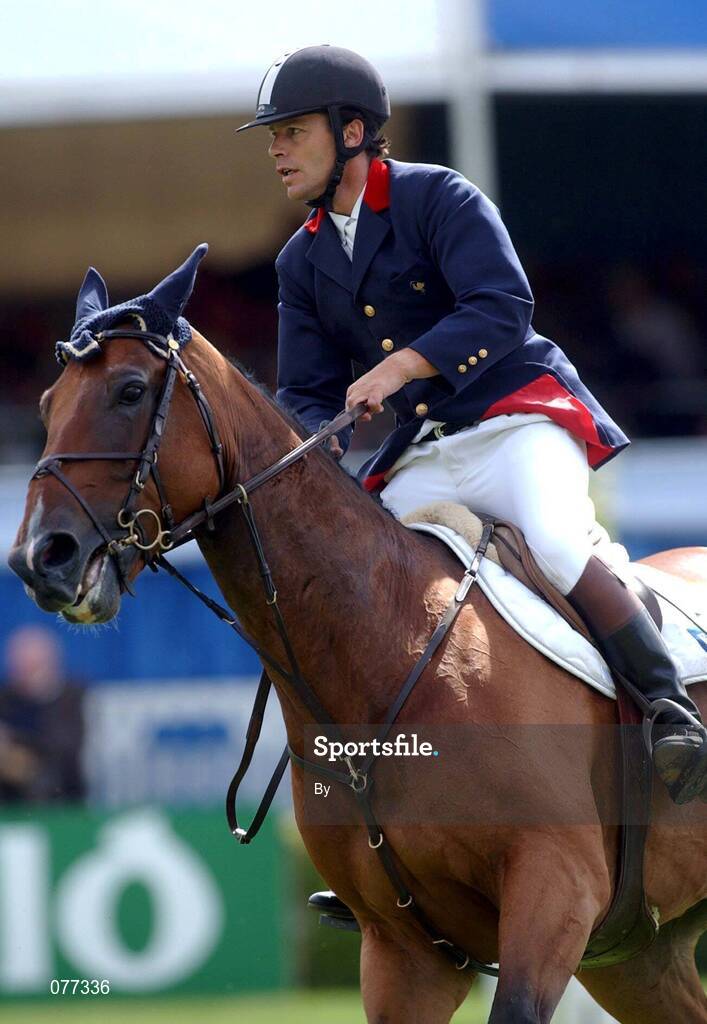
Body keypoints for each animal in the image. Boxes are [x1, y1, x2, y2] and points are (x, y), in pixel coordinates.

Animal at [8, 253, 707, 1023]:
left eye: (130, 390)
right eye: (46, 406)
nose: (41, 557)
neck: (383, 651)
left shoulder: (553, 891)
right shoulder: (403, 953)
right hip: (638, 956)